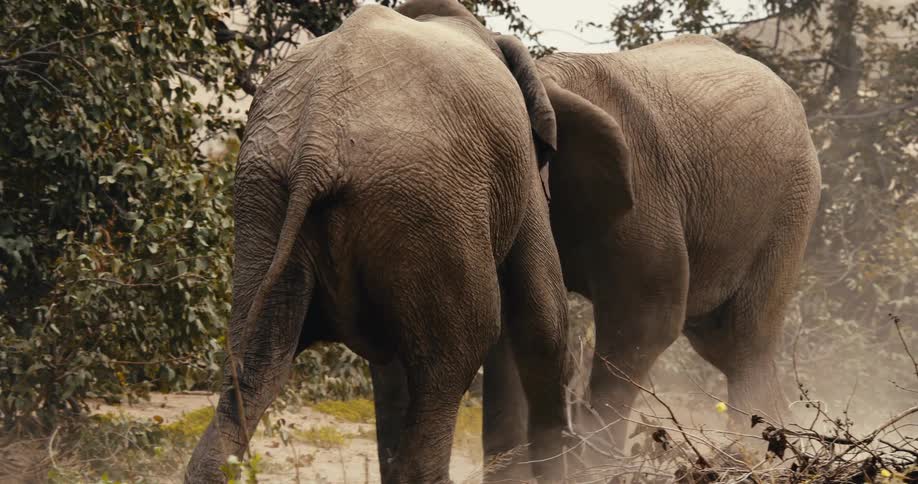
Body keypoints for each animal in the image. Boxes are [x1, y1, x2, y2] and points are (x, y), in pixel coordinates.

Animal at [184, 1, 574, 482]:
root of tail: (315, 144)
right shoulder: (519, 160)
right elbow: (544, 314)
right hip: (426, 203)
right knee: (456, 356)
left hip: (265, 197)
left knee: (256, 365)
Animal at [479, 34, 823, 477]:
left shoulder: (641, 185)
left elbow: (646, 319)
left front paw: (595, 469)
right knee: (719, 340)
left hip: (789, 205)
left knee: (744, 337)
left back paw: (754, 457)